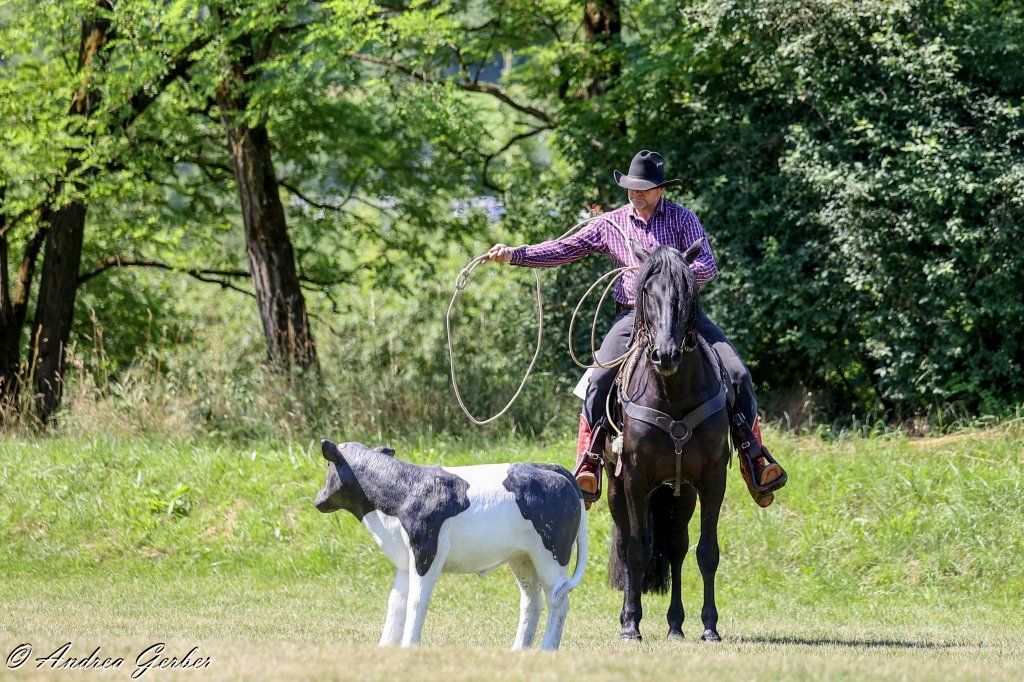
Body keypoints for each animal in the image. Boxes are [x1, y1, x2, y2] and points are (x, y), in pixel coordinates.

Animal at [605, 242, 733, 642]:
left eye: (686, 293)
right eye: (646, 291)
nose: (665, 354)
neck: (672, 393)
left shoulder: (712, 479)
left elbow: (707, 551)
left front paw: (710, 626)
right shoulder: (634, 479)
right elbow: (636, 549)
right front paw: (631, 625)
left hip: (681, 492)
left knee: (677, 547)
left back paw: (676, 624)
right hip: (616, 487)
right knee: (627, 544)